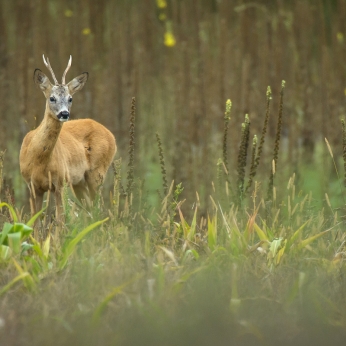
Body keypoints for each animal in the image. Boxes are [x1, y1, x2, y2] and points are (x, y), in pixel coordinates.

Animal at [19, 54, 117, 222]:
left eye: (70, 98)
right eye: (52, 98)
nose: (64, 113)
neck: (39, 160)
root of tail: (111, 135)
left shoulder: (61, 182)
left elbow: (60, 220)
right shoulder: (32, 185)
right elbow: (34, 221)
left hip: (97, 172)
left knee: (99, 209)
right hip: (79, 182)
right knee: (90, 209)